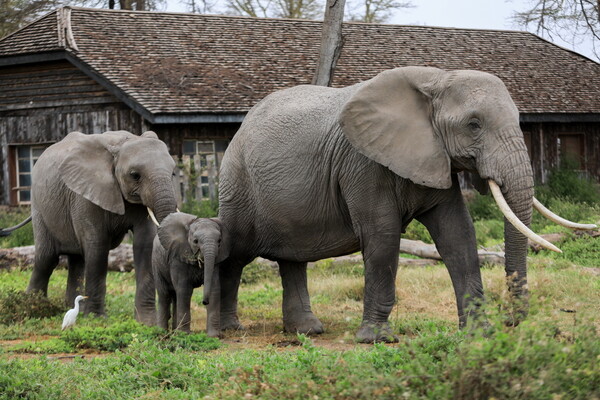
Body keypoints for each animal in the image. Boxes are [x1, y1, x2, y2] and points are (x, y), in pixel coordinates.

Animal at [21, 130, 178, 324]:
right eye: (135, 175)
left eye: (173, 173)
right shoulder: (85, 193)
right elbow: (98, 247)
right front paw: (96, 318)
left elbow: (145, 244)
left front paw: (146, 322)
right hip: (39, 205)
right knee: (47, 258)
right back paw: (33, 307)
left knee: (77, 259)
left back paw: (72, 308)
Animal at [214, 67, 592, 342]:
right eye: (474, 125)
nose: (512, 321)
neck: (436, 80)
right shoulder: (363, 163)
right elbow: (383, 237)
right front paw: (376, 339)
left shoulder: (436, 158)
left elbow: (458, 234)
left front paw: (478, 334)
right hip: (237, 185)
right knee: (234, 254)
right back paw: (228, 330)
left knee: (293, 259)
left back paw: (307, 331)